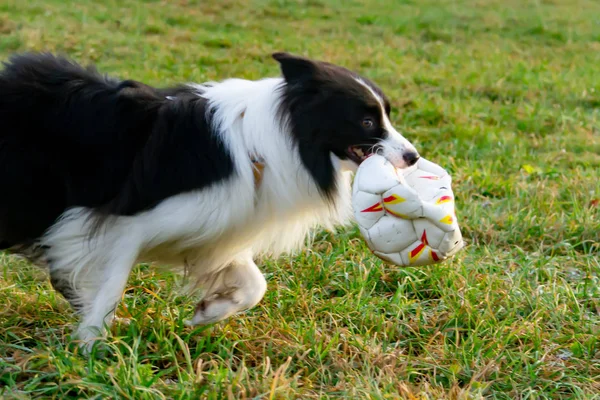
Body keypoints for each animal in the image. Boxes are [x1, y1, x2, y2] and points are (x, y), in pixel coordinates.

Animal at [0, 52, 420, 346]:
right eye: (367, 122)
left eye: (386, 115)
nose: (414, 156)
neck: (273, 144)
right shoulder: (120, 223)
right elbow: (109, 286)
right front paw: (92, 348)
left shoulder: (216, 230)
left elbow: (254, 285)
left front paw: (206, 313)